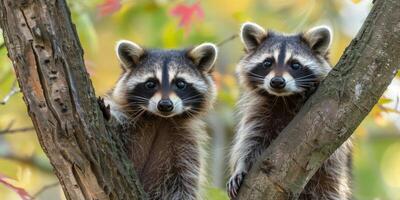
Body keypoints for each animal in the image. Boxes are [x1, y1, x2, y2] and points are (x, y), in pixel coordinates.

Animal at [101, 39, 217, 199]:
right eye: (150, 84)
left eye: (180, 83)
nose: (165, 105)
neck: (160, 119)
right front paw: (111, 117)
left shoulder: (186, 142)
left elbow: (184, 181)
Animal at [227, 22, 352, 199]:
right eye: (267, 63)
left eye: (295, 65)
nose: (277, 82)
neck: (284, 98)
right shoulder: (259, 111)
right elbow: (250, 140)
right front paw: (241, 167)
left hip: (328, 181)